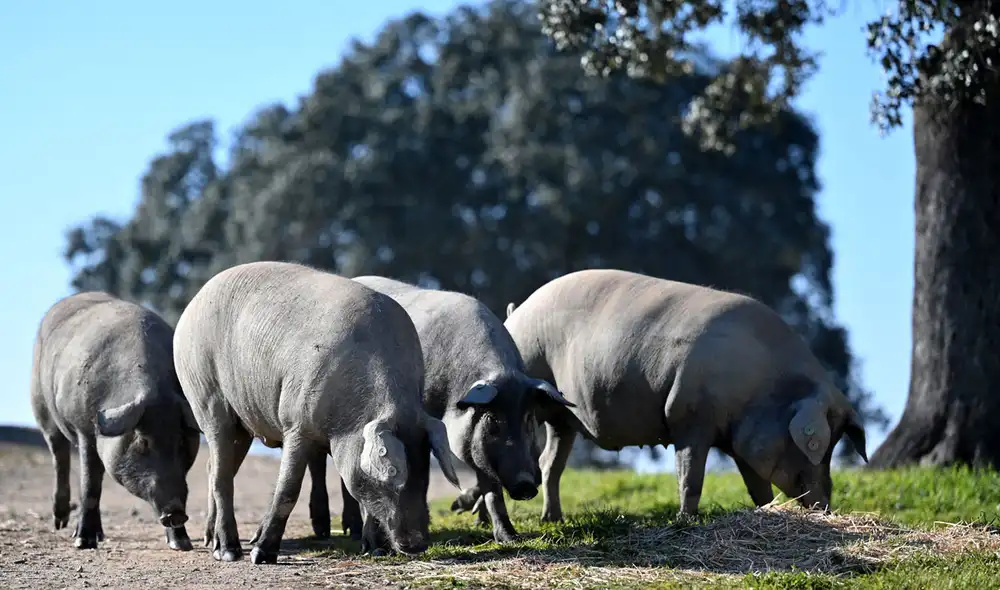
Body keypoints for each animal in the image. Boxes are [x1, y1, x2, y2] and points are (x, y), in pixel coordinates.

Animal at [30, 292, 201, 551]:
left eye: (182, 441)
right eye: (142, 441)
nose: (176, 512)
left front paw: (182, 544)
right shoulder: (84, 430)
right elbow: (89, 485)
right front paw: (83, 543)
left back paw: (98, 535)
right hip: (42, 410)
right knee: (60, 456)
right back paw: (62, 525)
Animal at [172, 261, 462, 564]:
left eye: (424, 469)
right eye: (393, 472)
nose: (417, 544)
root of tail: (196, 299)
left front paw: (375, 550)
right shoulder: (296, 424)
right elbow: (288, 488)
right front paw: (261, 556)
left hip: (243, 423)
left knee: (215, 467)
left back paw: (214, 541)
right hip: (208, 398)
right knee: (221, 476)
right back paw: (229, 552)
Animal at [299, 275, 573, 543]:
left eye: (529, 419)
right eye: (493, 421)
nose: (526, 485)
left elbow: (488, 483)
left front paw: (507, 536)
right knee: (318, 463)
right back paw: (328, 531)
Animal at [499, 269, 868, 520]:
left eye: (835, 447)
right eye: (818, 447)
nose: (826, 506)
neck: (763, 387)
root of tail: (515, 313)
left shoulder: (737, 442)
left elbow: (757, 485)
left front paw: (766, 510)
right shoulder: (689, 418)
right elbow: (690, 476)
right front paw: (685, 519)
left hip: (562, 418)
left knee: (550, 462)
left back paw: (553, 519)